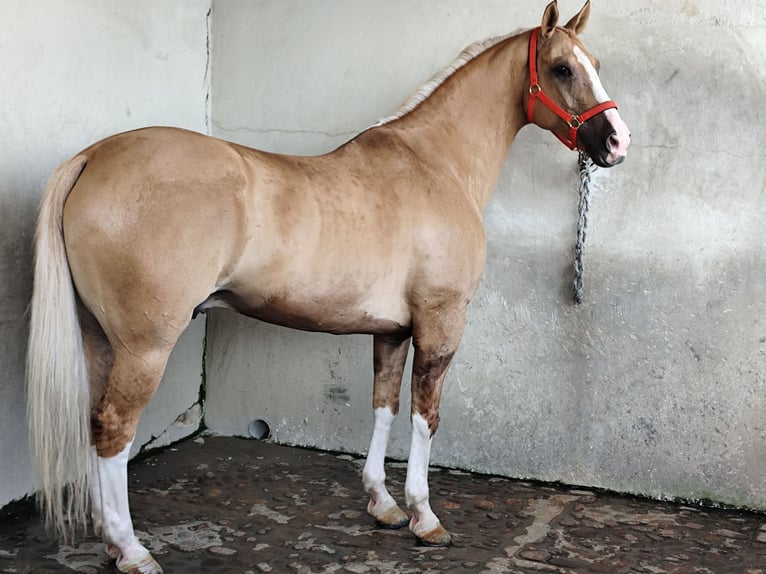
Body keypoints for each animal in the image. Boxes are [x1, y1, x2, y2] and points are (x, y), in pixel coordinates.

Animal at [26, 2, 629, 572]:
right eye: (562, 68)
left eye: (597, 65)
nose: (616, 143)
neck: (437, 164)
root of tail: (94, 157)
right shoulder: (441, 322)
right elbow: (425, 416)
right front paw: (425, 517)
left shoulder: (393, 331)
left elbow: (384, 407)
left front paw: (384, 506)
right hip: (145, 347)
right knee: (115, 429)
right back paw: (132, 551)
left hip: (101, 339)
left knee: (96, 422)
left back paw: (110, 542)